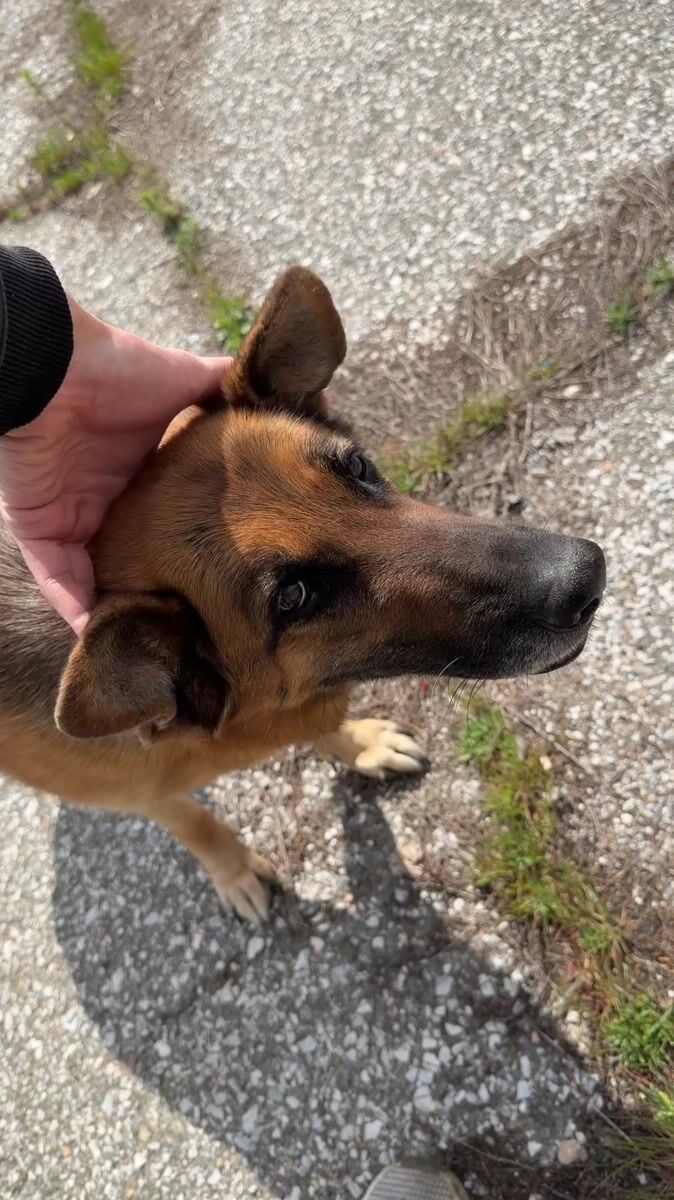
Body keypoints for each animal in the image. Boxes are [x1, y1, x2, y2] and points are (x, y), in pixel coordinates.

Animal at [0, 267, 605, 921]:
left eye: (358, 468)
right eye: (294, 596)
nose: (586, 577)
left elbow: (319, 726)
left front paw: (358, 744)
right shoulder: (141, 794)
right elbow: (194, 822)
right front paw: (235, 869)